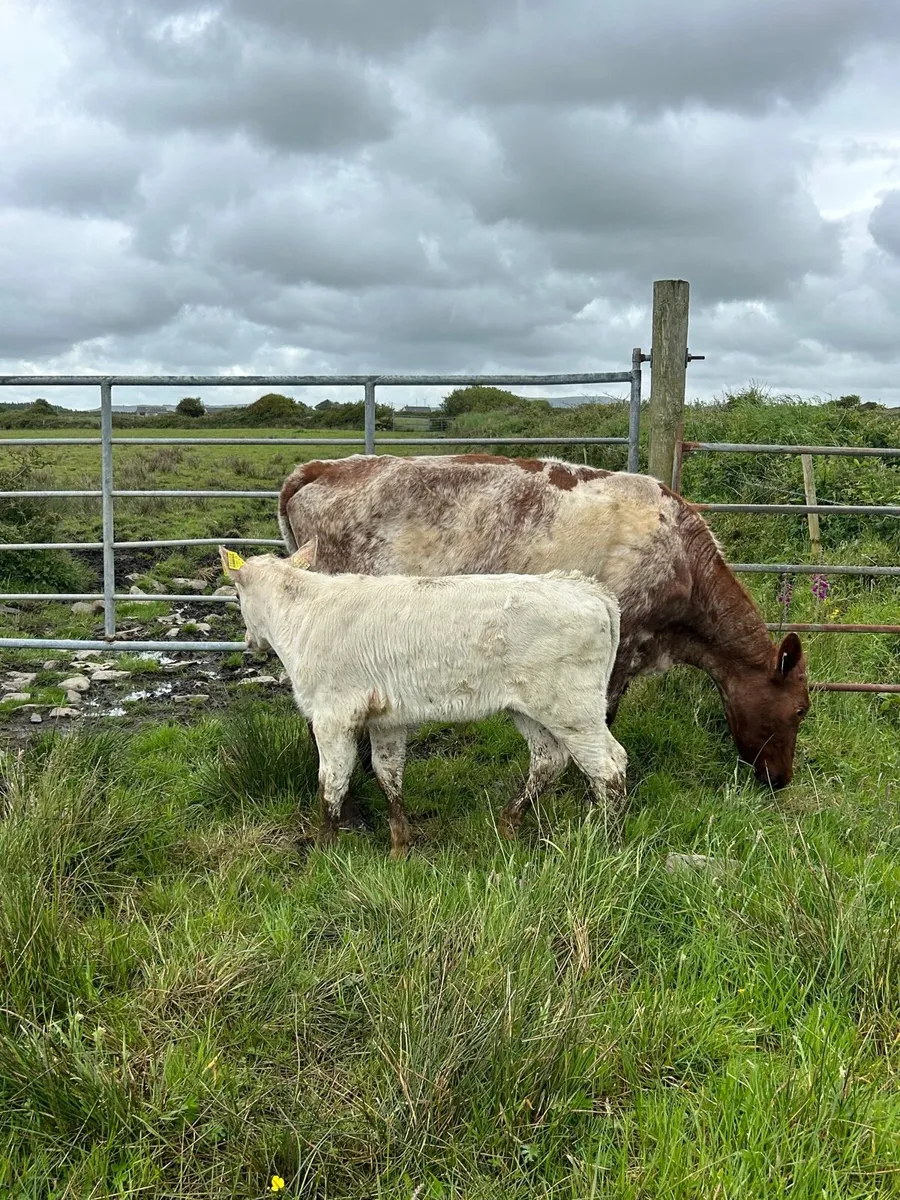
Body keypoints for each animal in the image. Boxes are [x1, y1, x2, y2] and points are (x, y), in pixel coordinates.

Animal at [218, 544, 626, 855]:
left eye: (237, 595)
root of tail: (587, 588)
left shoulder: (331, 716)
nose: (249, 641)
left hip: (572, 707)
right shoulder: (386, 718)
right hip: (529, 708)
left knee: (609, 765)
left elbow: (332, 781)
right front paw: (400, 846)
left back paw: (605, 839)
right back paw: (510, 822)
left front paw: (324, 850)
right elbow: (388, 774)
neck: (304, 617)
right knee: (549, 759)